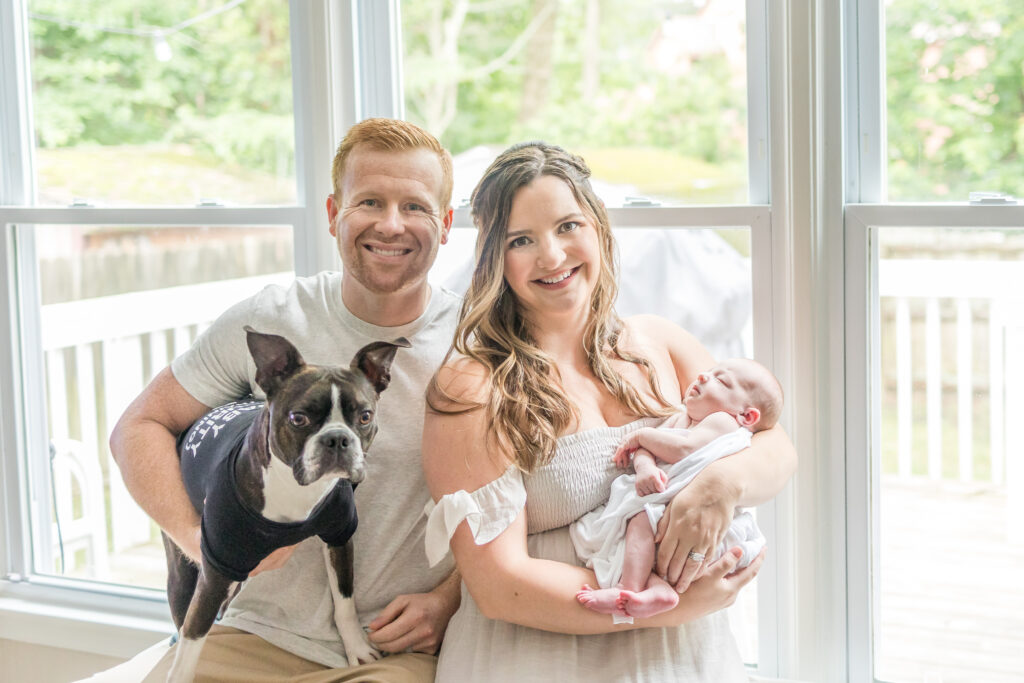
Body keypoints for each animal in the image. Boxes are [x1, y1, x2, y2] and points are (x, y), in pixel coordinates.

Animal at [161, 327, 405, 679]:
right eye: (298, 418)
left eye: (365, 416)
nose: (337, 439)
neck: (296, 486)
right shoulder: (216, 572)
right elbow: (192, 639)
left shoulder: (339, 537)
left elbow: (344, 601)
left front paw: (357, 649)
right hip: (183, 569)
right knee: (183, 615)